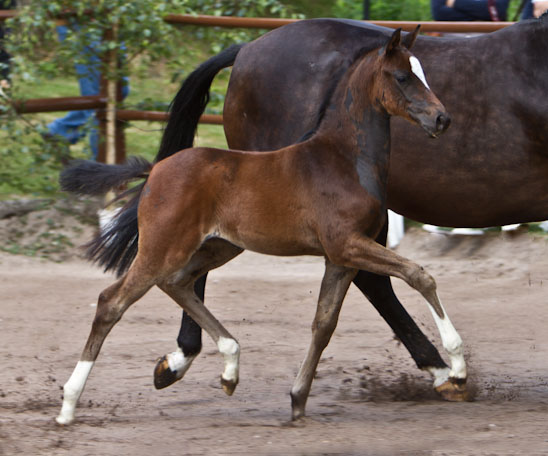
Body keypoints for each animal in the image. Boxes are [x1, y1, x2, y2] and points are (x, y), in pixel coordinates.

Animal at [56, 28, 458, 426]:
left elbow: (323, 324)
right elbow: (420, 275)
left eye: (422, 72)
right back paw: (68, 405)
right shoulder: (347, 244)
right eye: (402, 76)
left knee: (176, 283)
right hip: (163, 246)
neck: (344, 159)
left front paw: (297, 399)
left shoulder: (339, 258)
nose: (442, 119)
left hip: (218, 245)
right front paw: (456, 367)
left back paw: (228, 368)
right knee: (113, 301)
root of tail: (155, 170)